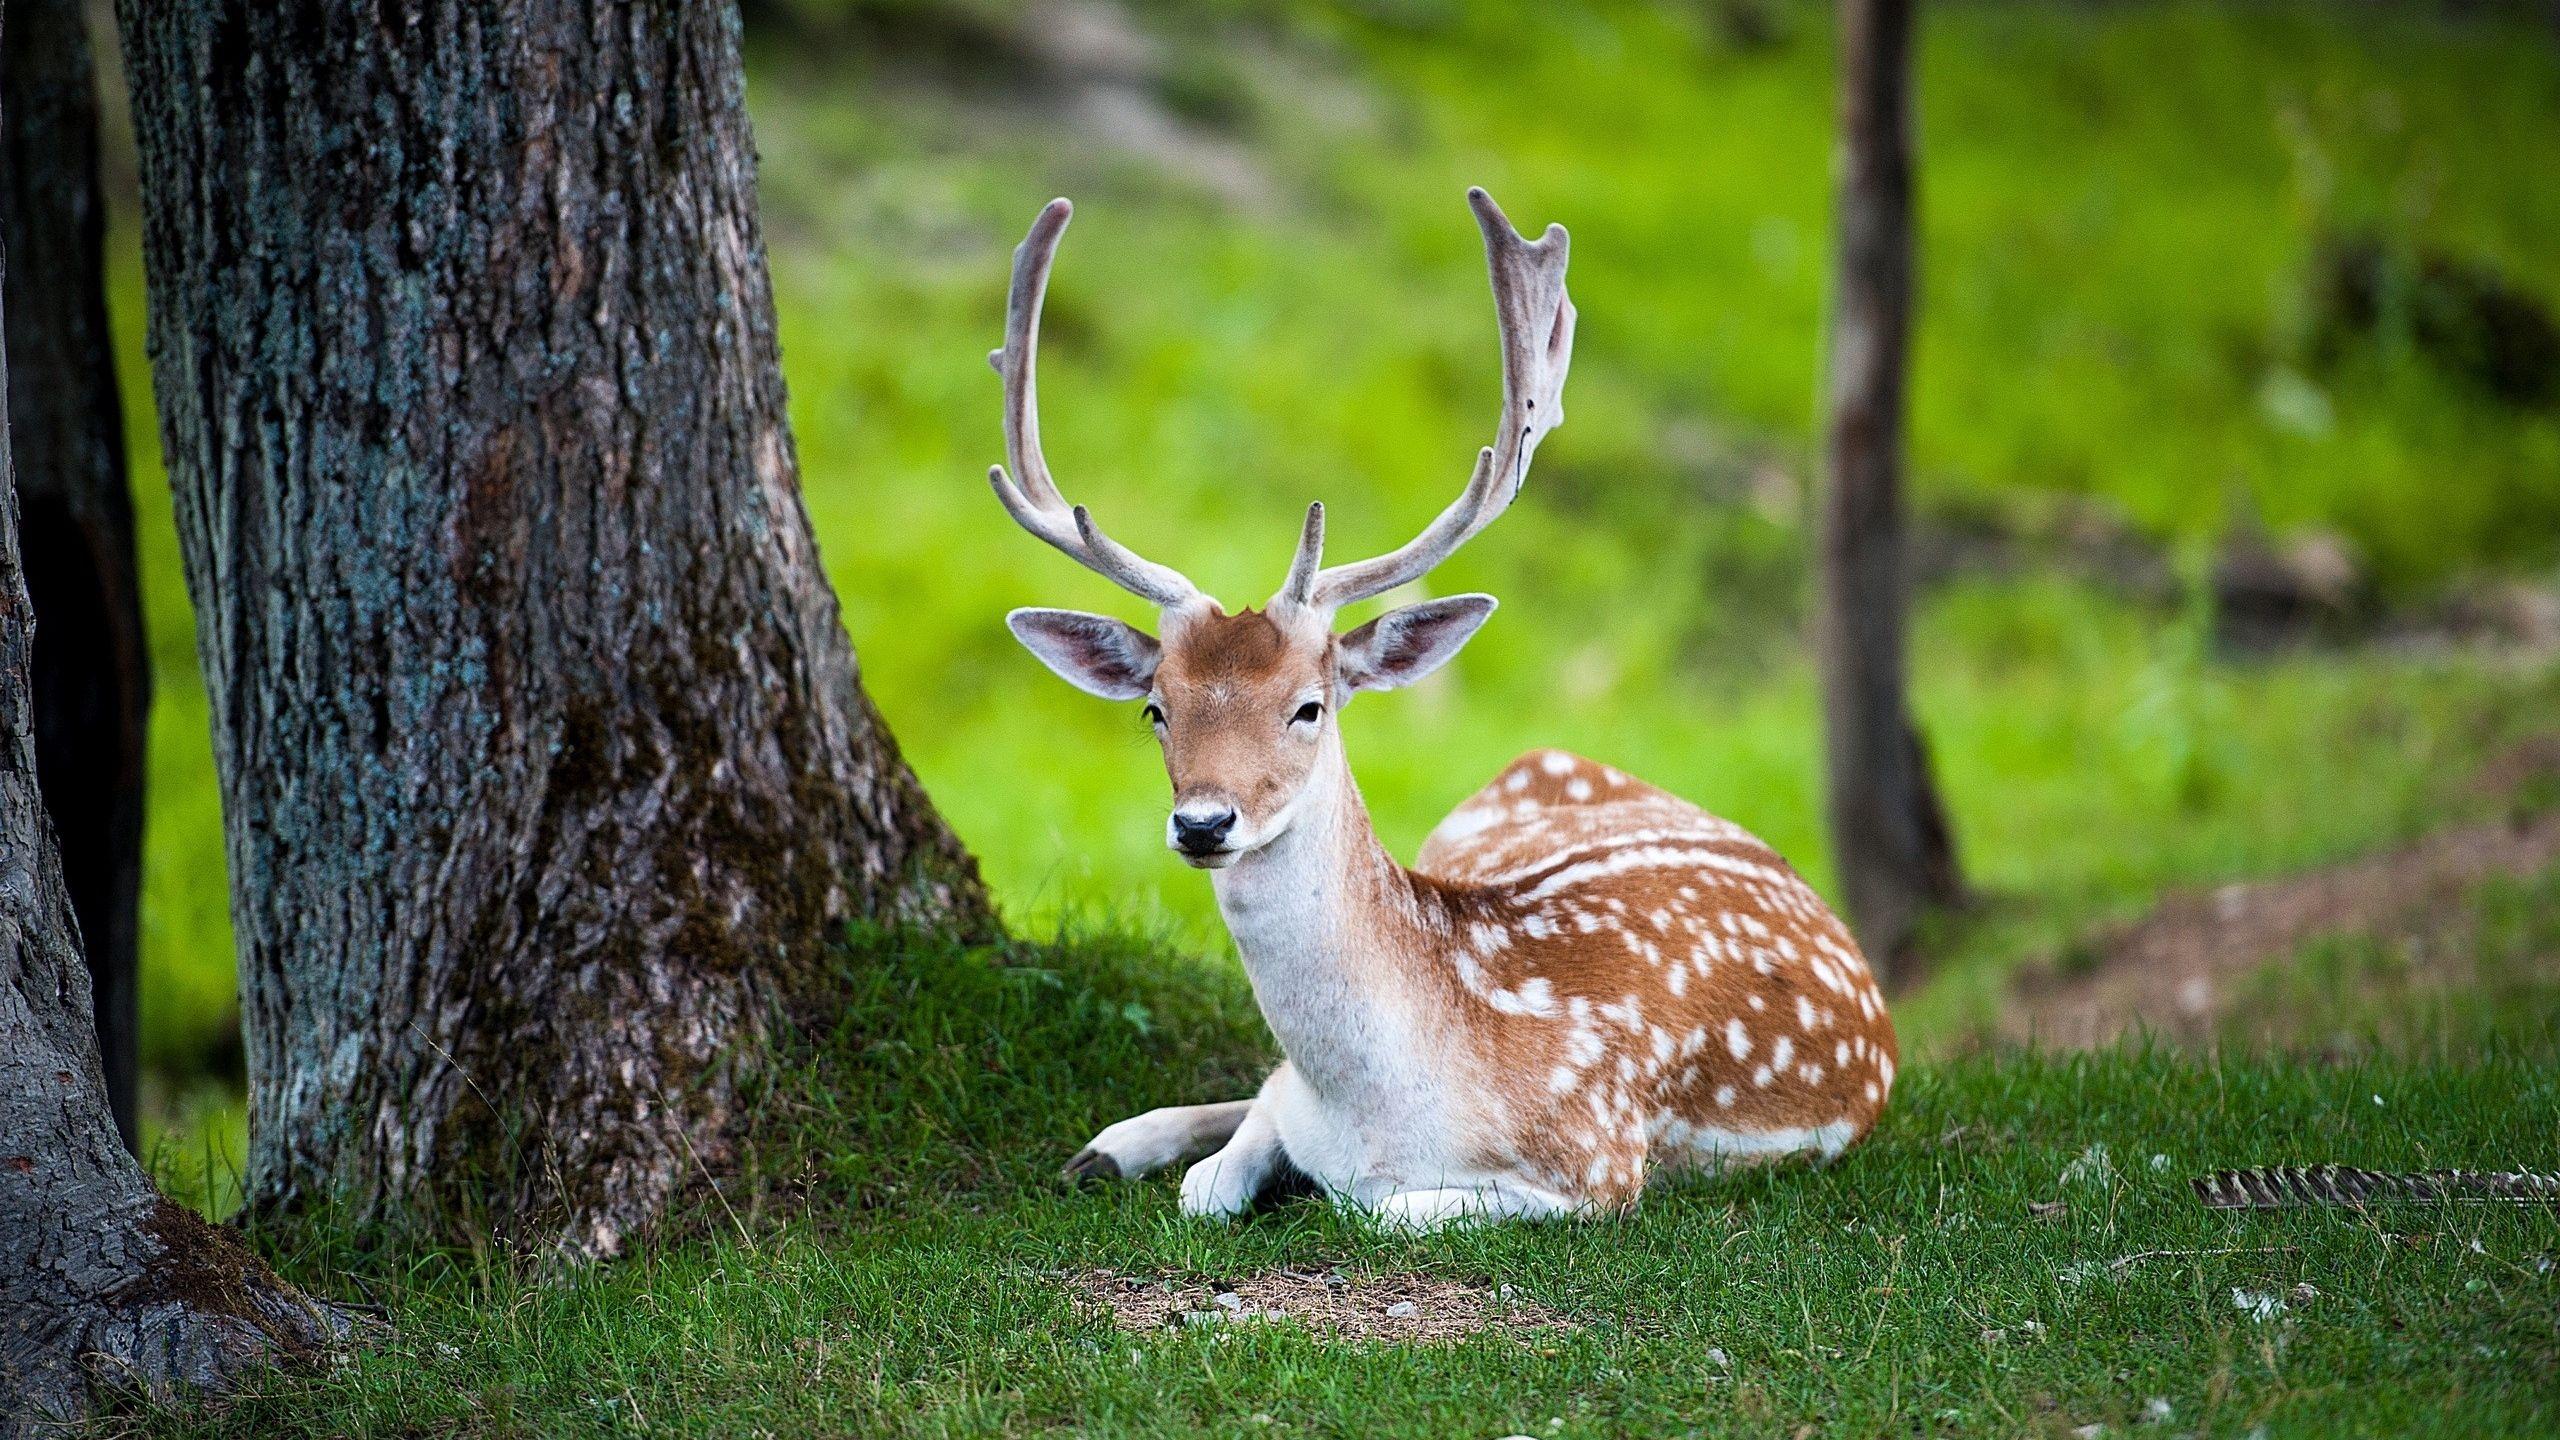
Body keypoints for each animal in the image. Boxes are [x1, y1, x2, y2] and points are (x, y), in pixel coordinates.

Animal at [987, 189, 1897, 1229]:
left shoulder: (1600, 1164)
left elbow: (1371, 1206)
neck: (1381, 1104)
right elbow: (1214, 1177)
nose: (1205, 823)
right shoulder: (1293, 1101)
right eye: (1157, 709)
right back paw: (1109, 1145)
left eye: (1310, 707)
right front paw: (1150, 1151)